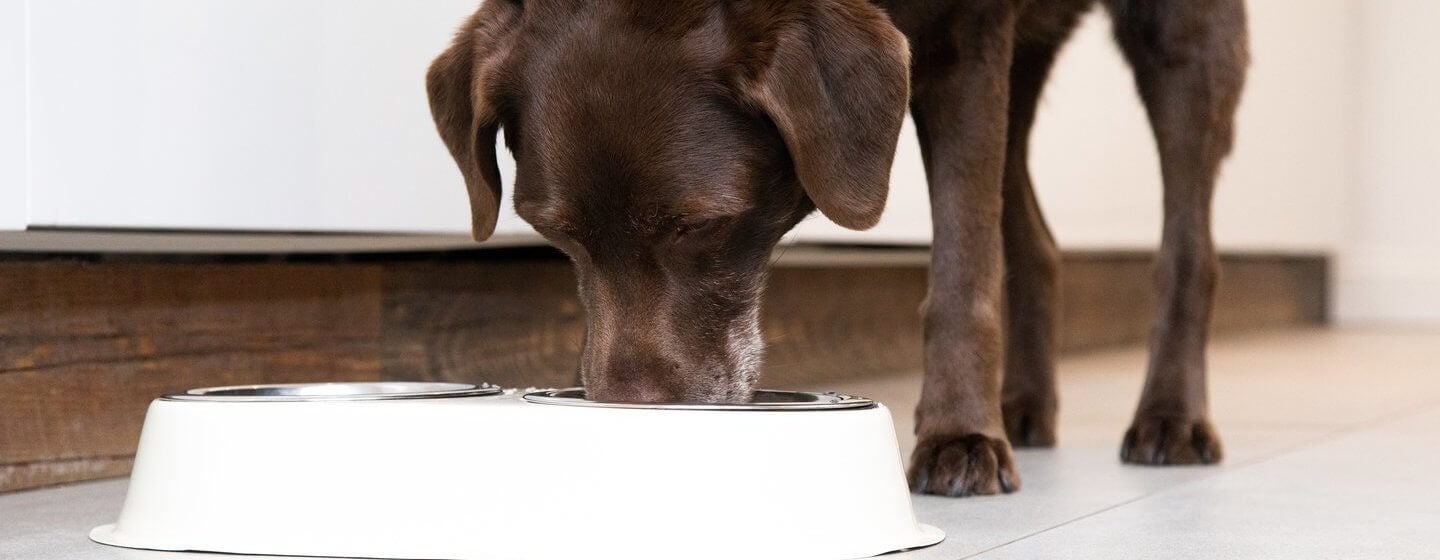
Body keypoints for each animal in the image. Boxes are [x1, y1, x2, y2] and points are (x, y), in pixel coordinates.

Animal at [426, 0, 1249, 498]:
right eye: (556, 231)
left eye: (700, 224)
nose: (635, 412)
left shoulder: (968, 42)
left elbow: (962, 274)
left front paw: (959, 434)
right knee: (1038, 243)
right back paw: (1023, 404)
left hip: (1185, 37)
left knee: (1188, 251)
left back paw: (1171, 418)